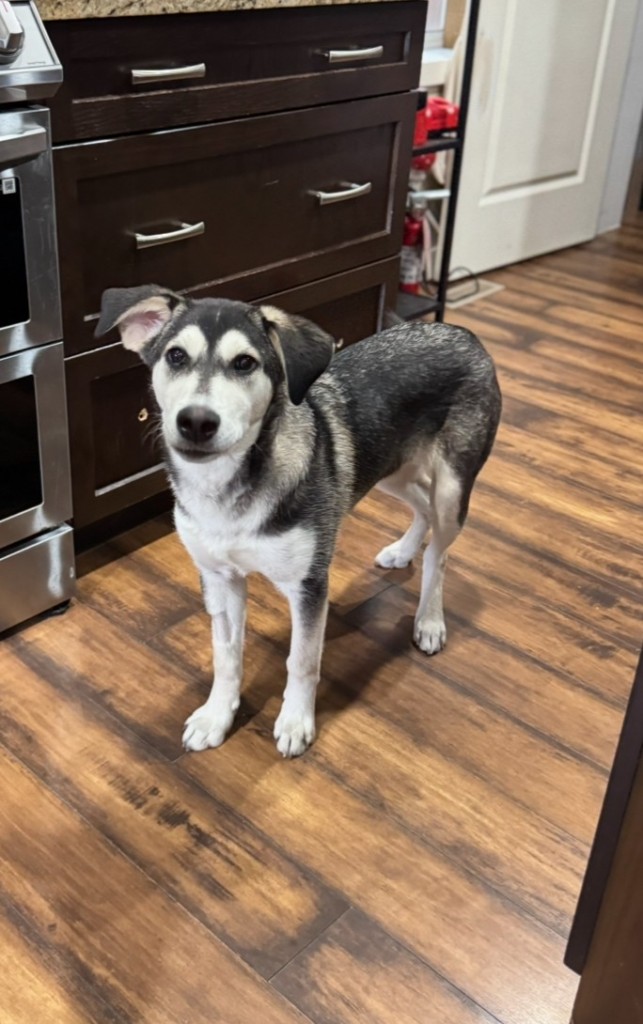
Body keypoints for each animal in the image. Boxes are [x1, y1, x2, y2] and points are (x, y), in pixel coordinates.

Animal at [96, 287, 501, 757]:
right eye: (176, 356)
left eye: (245, 363)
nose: (196, 421)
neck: (230, 486)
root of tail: (460, 331)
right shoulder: (219, 577)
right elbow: (226, 654)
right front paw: (217, 716)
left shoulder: (308, 585)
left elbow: (303, 659)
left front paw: (295, 722)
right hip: (387, 467)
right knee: (421, 506)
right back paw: (402, 551)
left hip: (452, 485)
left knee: (441, 551)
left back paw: (430, 621)